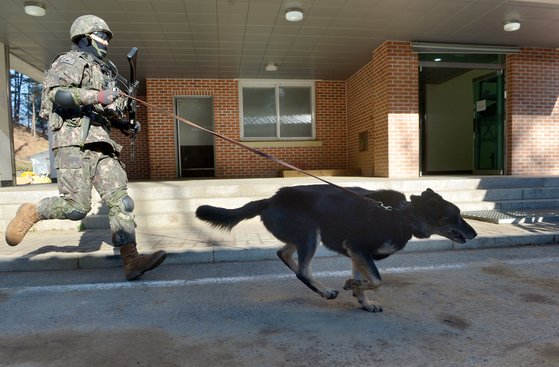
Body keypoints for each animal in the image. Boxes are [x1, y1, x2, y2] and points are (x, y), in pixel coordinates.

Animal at [196, 185, 476, 312]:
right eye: (457, 216)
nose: (474, 233)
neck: (403, 215)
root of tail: (270, 199)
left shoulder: (357, 254)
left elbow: (367, 280)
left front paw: (362, 299)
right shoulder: (358, 249)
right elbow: (377, 280)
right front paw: (353, 286)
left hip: (302, 235)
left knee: (283, 253)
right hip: (311, 234)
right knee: (303, 271)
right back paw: (325, 291)